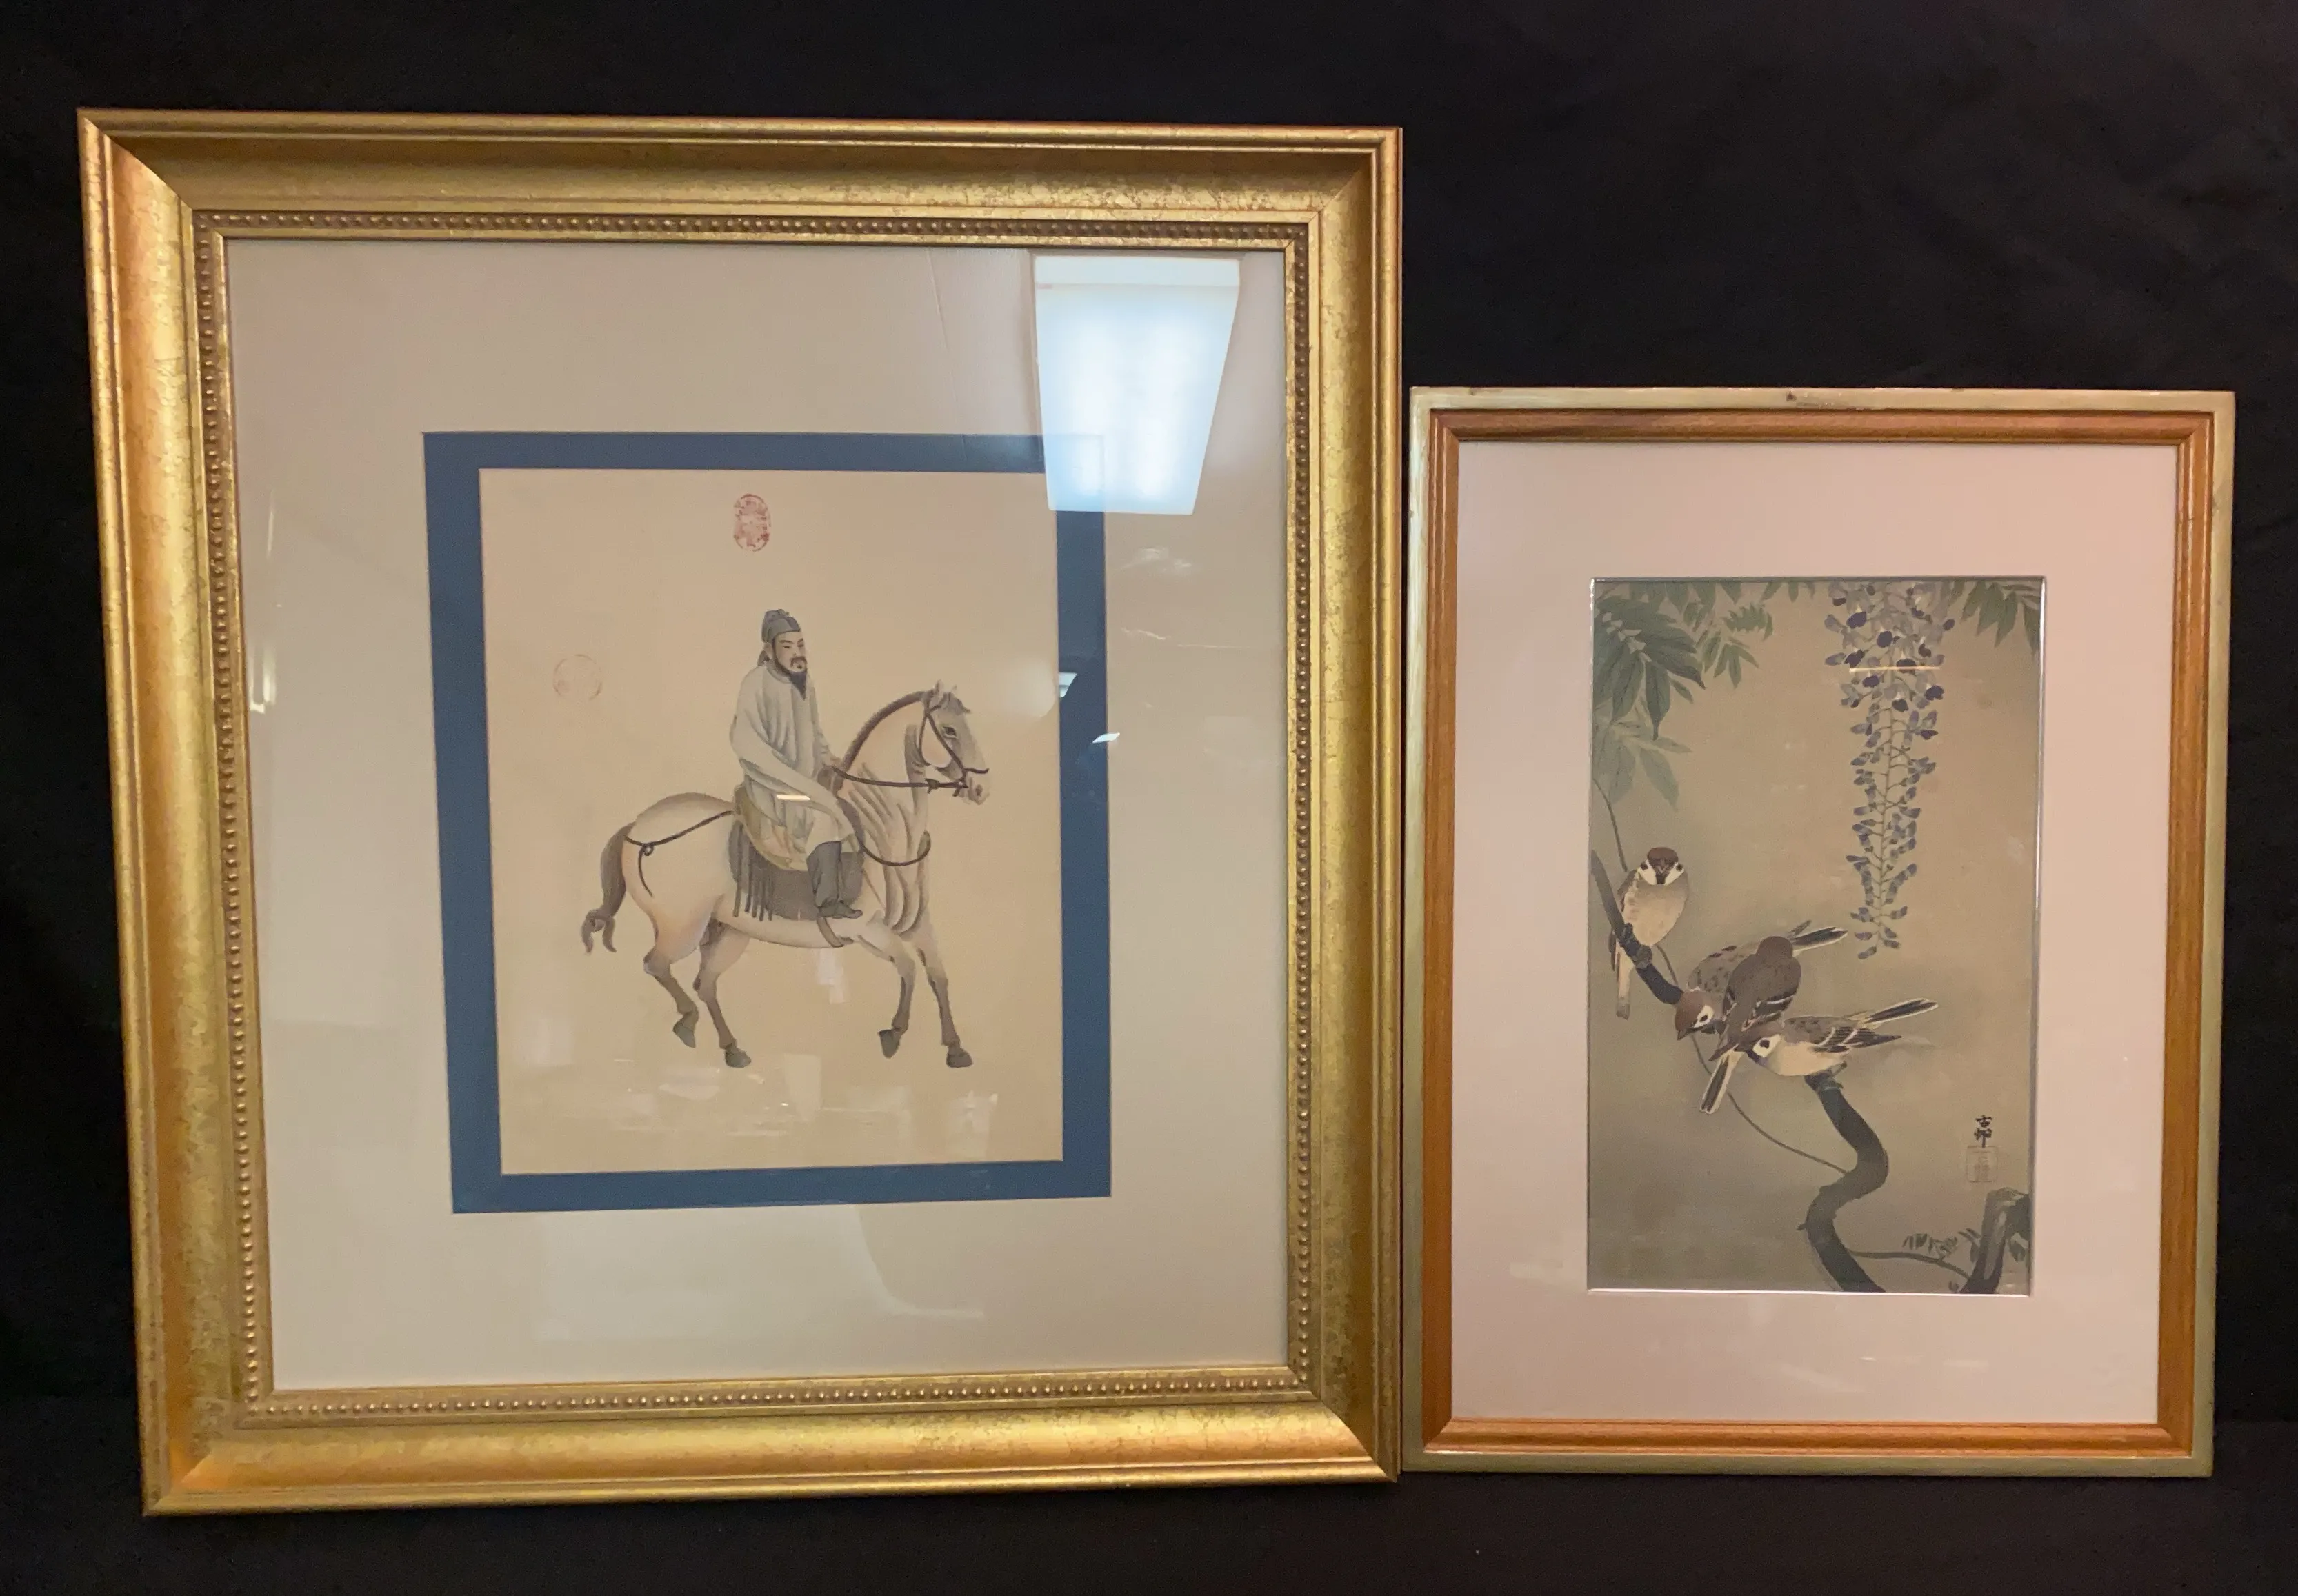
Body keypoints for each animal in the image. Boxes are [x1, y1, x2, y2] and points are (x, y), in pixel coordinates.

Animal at [579, 685, 990, 1072]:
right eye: (949, 730)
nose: (981, 789)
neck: (883, 830)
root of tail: (638, 828)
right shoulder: (869, 930)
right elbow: (908, 969)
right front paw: (894, 1033)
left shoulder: (917, 925)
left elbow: (937, 974)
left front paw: (956, 1048)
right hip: (683, 927)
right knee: (658, 965)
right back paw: (689, 1021)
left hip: (731, 932)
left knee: (705, 982)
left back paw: (733, 1049)